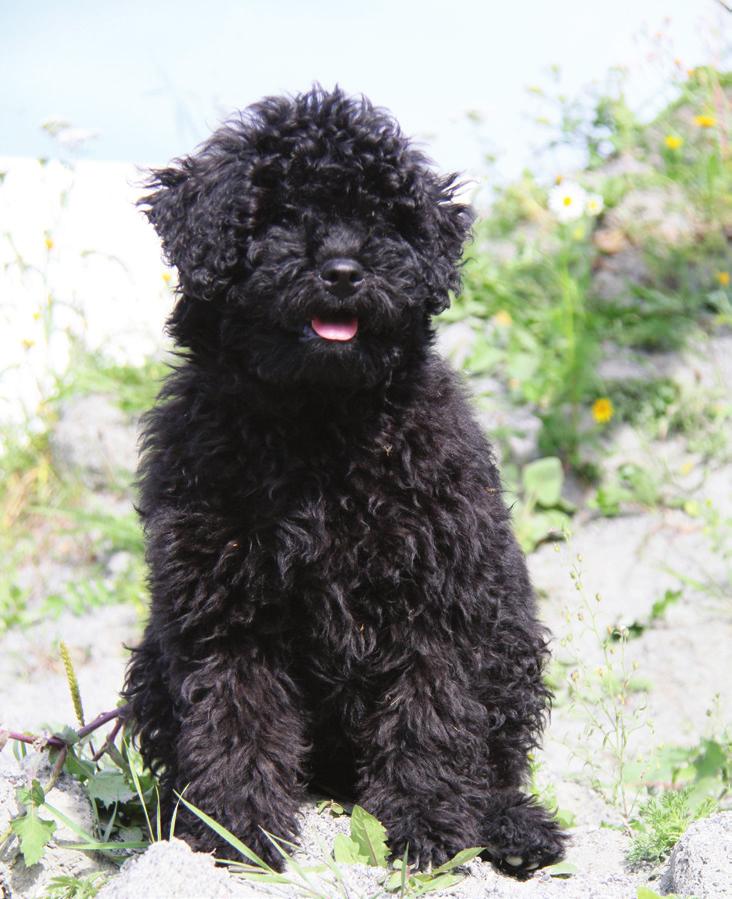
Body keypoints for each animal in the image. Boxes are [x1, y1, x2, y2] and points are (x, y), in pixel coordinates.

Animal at [124, 86, 568, 880]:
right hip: (151, 661)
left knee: (497, 759)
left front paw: (428, 831)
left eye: (382, 219)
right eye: (279, 212)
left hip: (511, 642)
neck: (316, 423)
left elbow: (430, 720)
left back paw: (514, 825)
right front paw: (241, 832)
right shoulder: (221, 605)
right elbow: (234, 718)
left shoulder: (435, 601)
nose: (341, 269)